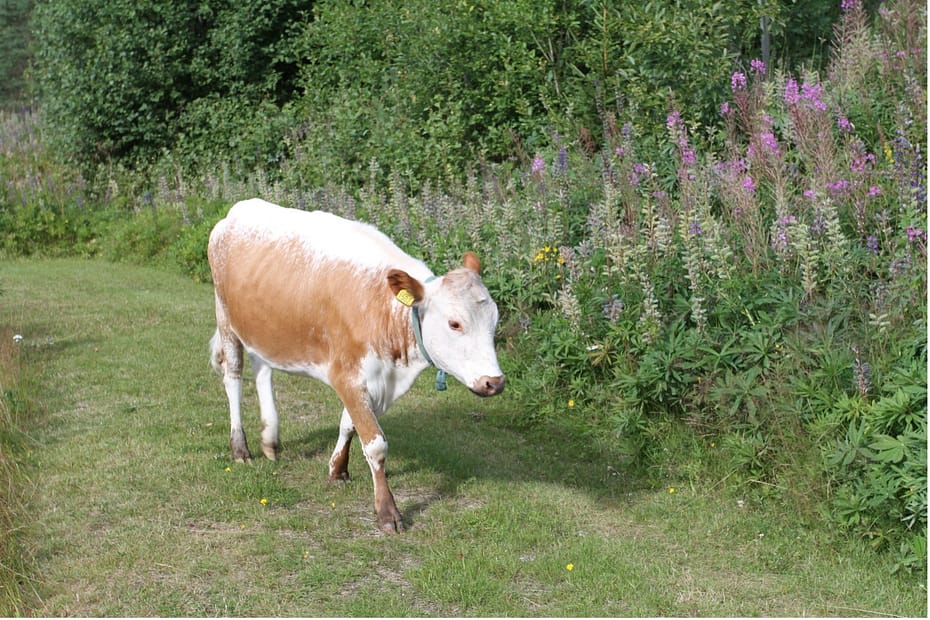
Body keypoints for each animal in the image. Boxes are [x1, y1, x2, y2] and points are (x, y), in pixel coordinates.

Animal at [207, 199, 504, 532]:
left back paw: (270, 439)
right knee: (233, 376)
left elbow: (348, 423)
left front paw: (338, 469)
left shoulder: (372, 379)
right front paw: (387, 511)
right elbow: (375, 444)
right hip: (225, 317)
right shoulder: (347, 375)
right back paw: (240, 448)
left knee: (263, 369)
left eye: (495, 319)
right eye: (455, 323)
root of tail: (240, 209)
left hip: (263, 326)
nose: (495, 381)